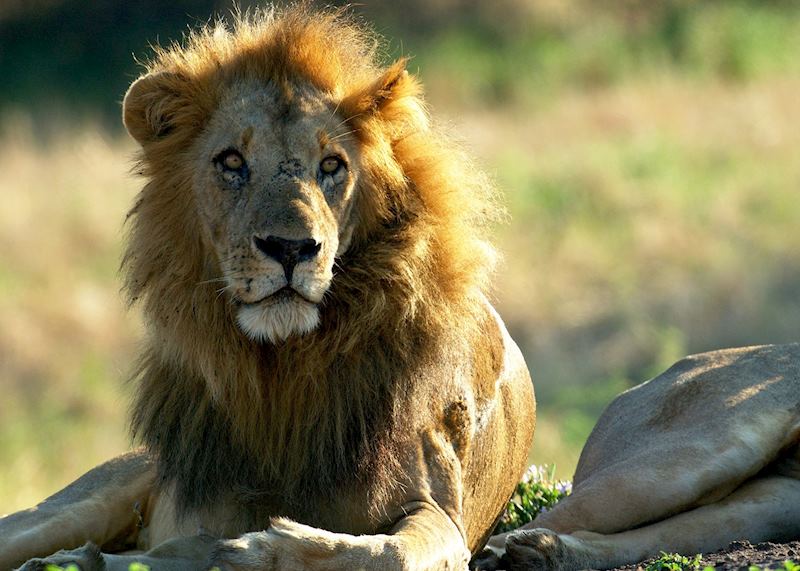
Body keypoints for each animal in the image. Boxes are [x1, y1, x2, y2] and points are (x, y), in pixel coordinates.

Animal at [0, 7, 536, 571]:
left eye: (332, 165)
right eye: (232, 162)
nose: (291, 247)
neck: (282, 368)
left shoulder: (441, 511)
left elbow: (388, 551)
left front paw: (264, 548)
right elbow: (182, 543)